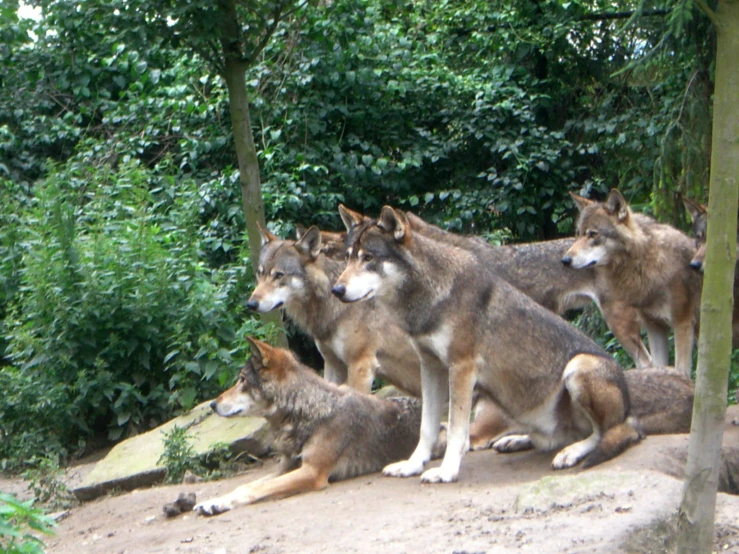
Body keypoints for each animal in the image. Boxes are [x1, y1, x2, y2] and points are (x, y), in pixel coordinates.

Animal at [332, 205, 644, 480]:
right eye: (348, 257)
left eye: (368, 258)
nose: (337, 290)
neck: (429, 298)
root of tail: (631, 412)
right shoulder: (430, 367)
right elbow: (427, 428)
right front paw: (411, 466)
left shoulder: (462, 368)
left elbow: (456, 430)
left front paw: (446, 472)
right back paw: (518, 440)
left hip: (579, 367)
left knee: (604, 433)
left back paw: (571, 452)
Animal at [564, 190, 704, 376]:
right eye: (578, 233)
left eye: (593, 234)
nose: (565, 260)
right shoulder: (655, 327)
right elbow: (658, 367)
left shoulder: (682, 324)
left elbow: (681, 370)